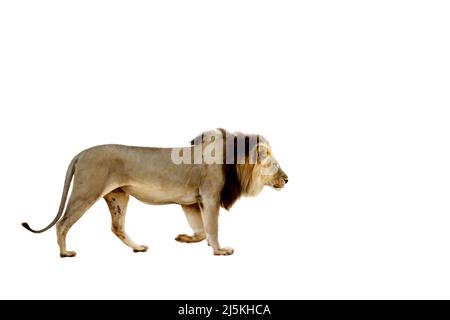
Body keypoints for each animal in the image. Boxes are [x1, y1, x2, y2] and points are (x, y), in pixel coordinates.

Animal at [22, 129, 288, 256]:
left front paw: (185, 238)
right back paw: (65, 252)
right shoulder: (210, 196)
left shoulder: (191, 202)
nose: (287, 179)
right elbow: (212, 228)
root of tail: (81, 153)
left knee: (117, 227)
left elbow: (201, 230)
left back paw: (138, 247)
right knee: (63, 223)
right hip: (87, 190)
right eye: (274, 165)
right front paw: (220, 251)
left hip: (118, 195)